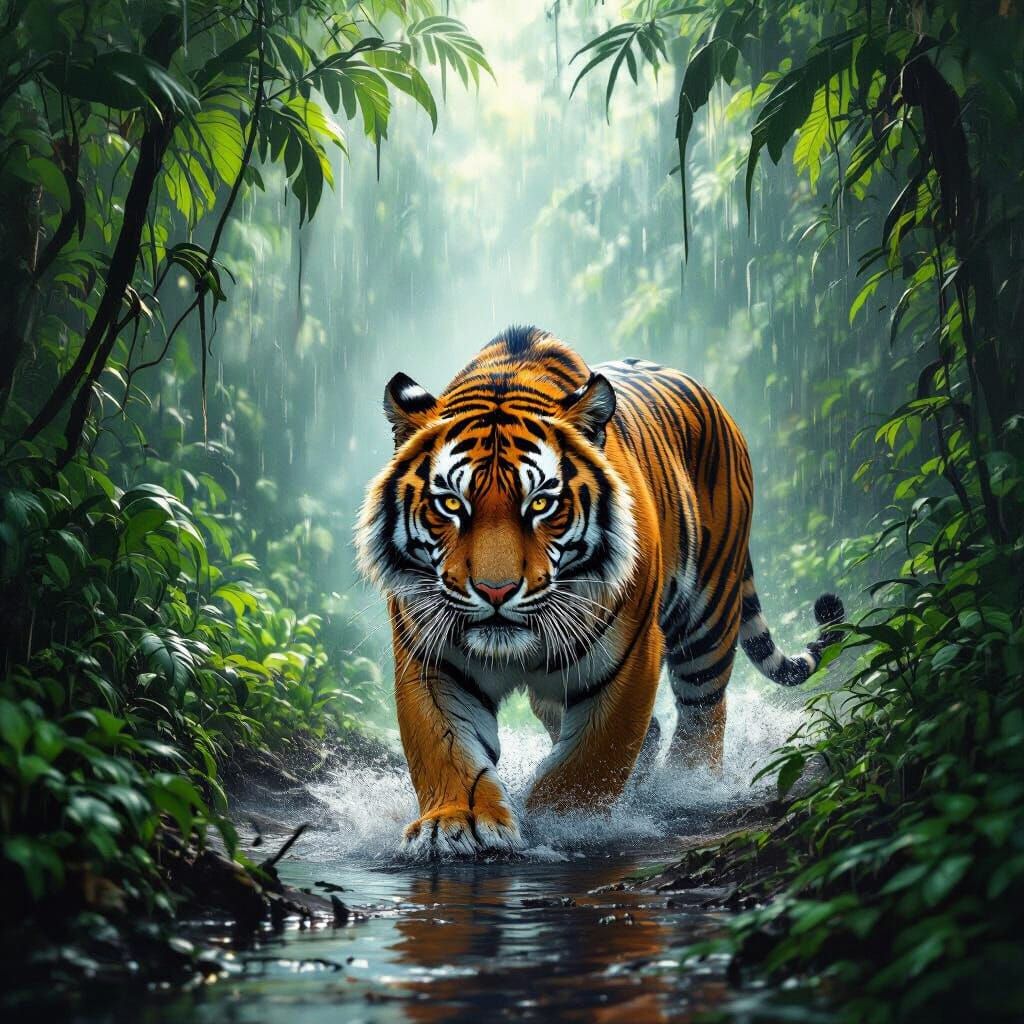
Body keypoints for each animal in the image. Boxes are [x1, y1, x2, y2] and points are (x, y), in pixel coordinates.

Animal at [355, 326, 843, 856]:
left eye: (541, 504)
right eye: (450, 504)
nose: (495, 590)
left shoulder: (630, 655)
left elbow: (592, 756)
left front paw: (562, 821)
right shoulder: (432, 659)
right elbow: (446, 750)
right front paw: (454, 824)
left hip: (708, 614)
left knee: (703, 708)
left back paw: (688, 784)